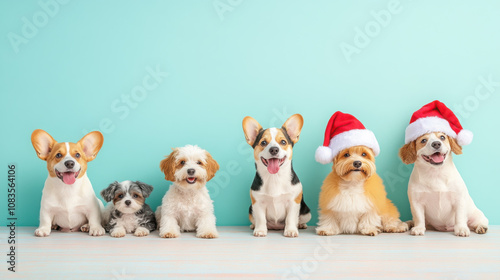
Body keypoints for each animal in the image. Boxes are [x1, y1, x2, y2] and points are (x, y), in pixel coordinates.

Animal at [398, 100, 488, 236]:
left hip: (476, 214)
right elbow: (419, 217)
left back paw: (480, 227)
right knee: (415, 220)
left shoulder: (459, 200)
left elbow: (460, 217)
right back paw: (407, 224)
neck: (436, 174)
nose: (436, 143)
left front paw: (461, 228)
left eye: (442, 137)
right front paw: (418, 228)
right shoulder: (416, 202)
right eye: (423, 140)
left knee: (478, 221)